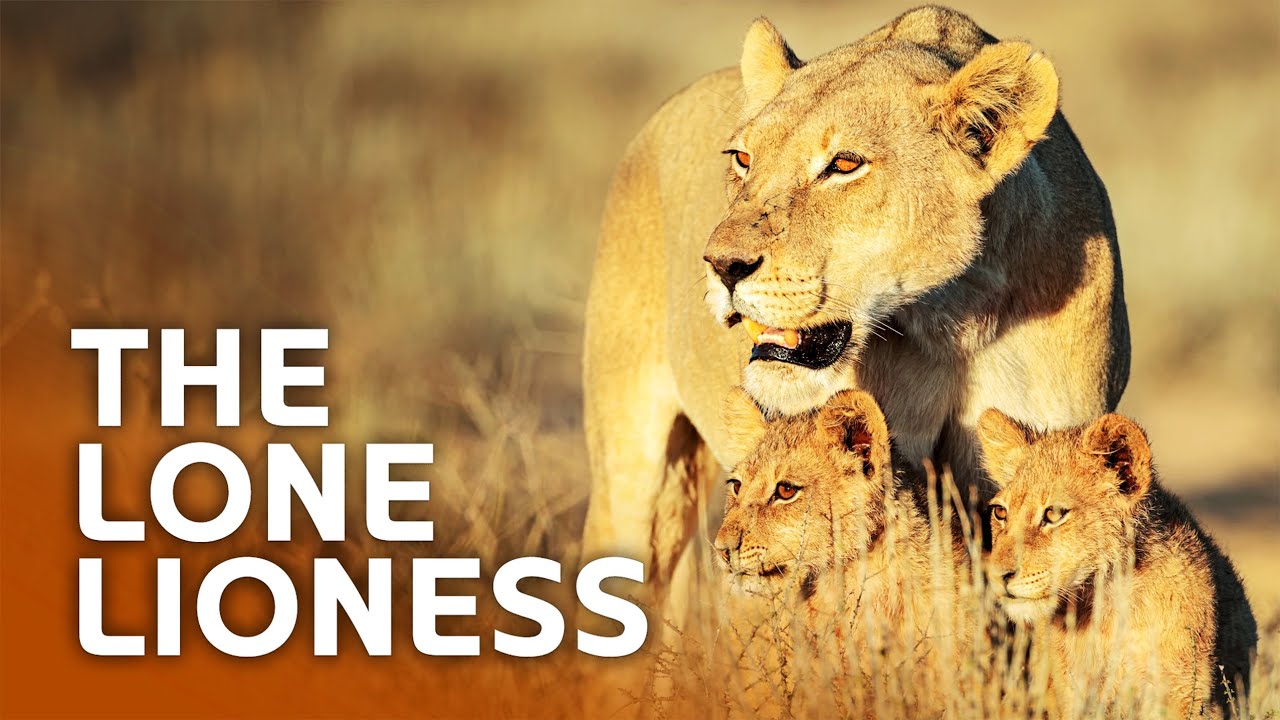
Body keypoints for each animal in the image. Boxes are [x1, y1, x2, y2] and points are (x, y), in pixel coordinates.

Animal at [978, 409, 1257, 718]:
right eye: (1000, 512)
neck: (1107, 605)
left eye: (1053, 514)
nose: (996, 575)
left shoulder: (1190, 698)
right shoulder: (1075, 696)